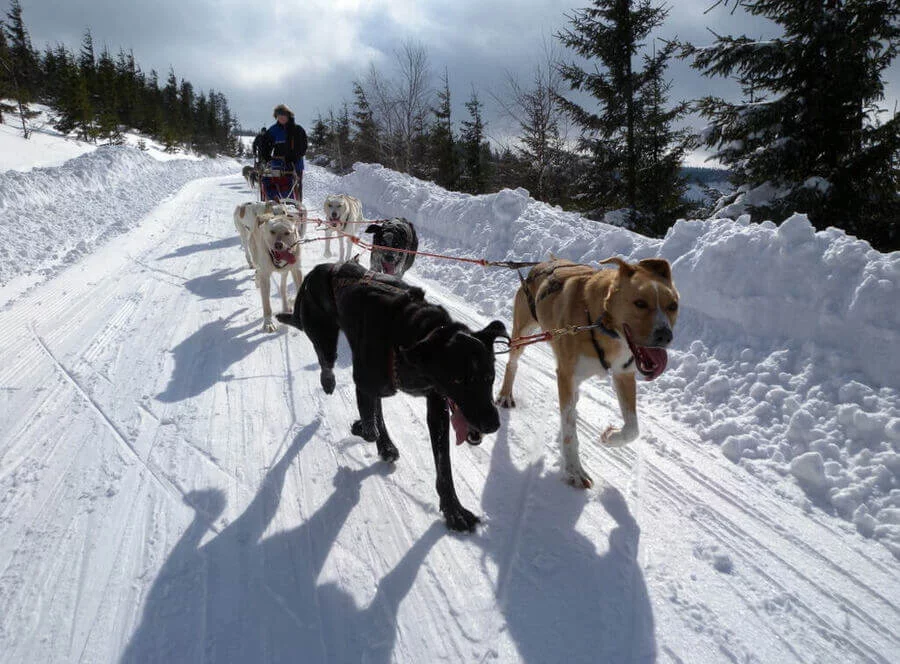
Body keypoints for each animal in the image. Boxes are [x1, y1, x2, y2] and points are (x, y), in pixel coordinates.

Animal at [276, 262, 506, 532]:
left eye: (490, 377)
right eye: (458, 380)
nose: (493, 424)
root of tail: (319, 269)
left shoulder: (436, 406)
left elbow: (443, 465)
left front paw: (453, 510)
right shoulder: (364, 383)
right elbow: (369, 426)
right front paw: (361, 427)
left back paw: (385, 443)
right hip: (326, 340)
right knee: (326, 362)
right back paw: (330, 383)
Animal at [496, 256, 680, 490]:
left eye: (673, 306)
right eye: (640, 303)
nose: (665, 335)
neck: (599, 321)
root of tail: (541, 264)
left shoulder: (623, 374)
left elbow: (633, 428)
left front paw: (611, 437)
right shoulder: (566, 375)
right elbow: (569, 431)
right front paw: (574, 470)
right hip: (522, 334)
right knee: (512, 363)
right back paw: (505, 394)